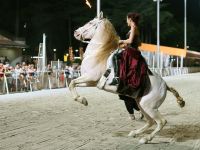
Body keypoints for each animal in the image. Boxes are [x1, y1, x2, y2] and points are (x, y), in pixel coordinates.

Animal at [69, 14, 184, 144]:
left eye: (90, 23)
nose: (75, 32)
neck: (99, 53)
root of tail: (165, 85)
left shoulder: (90, 77)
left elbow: (71, 83)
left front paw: (82, 100)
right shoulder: (91, 82)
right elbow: (72, 83)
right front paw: (82, 100)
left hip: (148, 106)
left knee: (161, 122)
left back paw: (146, 138)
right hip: (141, 104)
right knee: (150, 122)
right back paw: (135, 133)